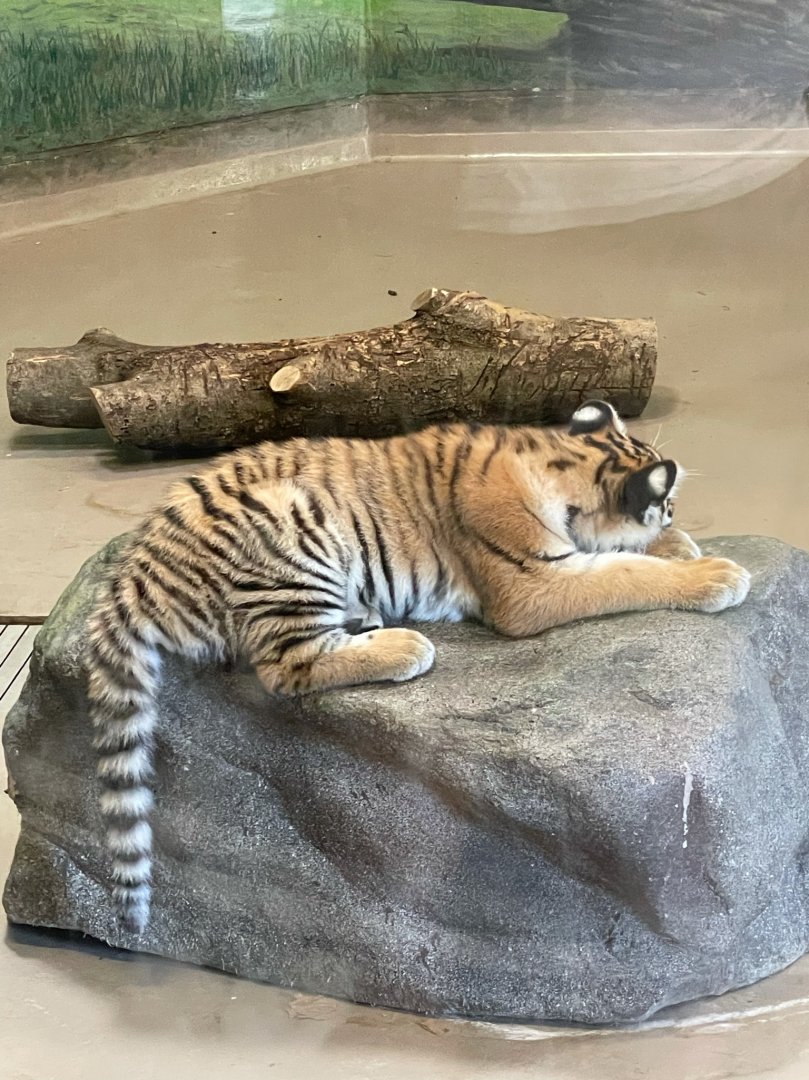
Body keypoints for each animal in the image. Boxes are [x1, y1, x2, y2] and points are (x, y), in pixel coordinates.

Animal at [86, 400, 750, 934]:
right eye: (669, 501)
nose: (672, 514)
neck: (554, 457)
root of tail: (133, 575)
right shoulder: (530, 585)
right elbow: (623, 574)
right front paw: (714, 574)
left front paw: (681, 547)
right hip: (291, 532)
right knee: (285, 666)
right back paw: (405, 647)